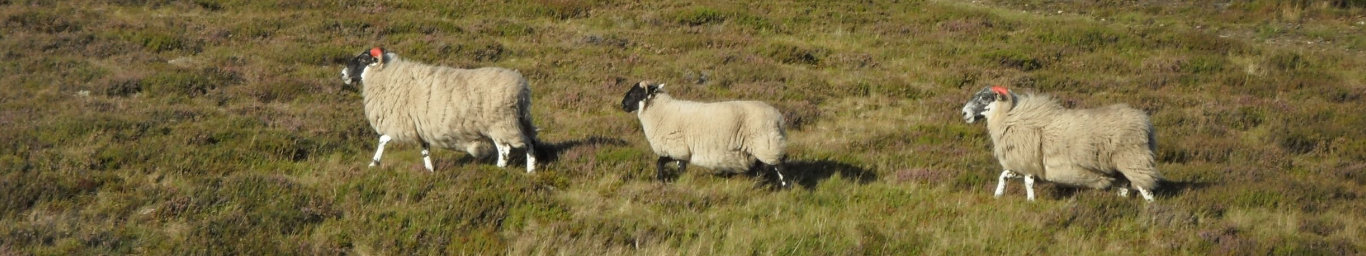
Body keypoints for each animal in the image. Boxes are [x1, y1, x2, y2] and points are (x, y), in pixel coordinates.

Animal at [338, 46, 535, 173]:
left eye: (363, 59)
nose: (342, 74)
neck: (388, 76)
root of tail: (521, 88)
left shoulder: (400, 124)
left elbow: (382, 140)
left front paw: (374, 163)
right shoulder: (417, 126)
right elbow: (425, 150)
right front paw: (430, 170)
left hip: (500, 124)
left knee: (506, 150)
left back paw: (499, 171)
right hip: (520, 121)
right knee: (530, 143)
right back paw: (531, 171)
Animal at [620, 81, 792, 186]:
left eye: (636, 93)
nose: (622, 105)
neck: (662, 111)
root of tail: (779, 118)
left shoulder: (677, 148)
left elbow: (661, 162)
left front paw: (663, 180)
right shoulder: (681, 151)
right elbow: (675, 166)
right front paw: (677, 180)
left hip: (767, 144)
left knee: (781, 167)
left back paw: (784, 188)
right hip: (762, 146)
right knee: (763, 168)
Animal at [961, 85, 1163, 202]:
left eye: (985, 97)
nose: (964, 113)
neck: (1010, 116)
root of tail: (1146, 123)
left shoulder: (1029, 162)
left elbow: (1027, 182)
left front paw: (1031, 202)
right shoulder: (1021, 164)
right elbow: (1003, 176)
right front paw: (998, 195)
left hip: (1133, 160)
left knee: (1146, 189)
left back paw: (1152, 210)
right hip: (1119, 167)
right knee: (1124, 187)